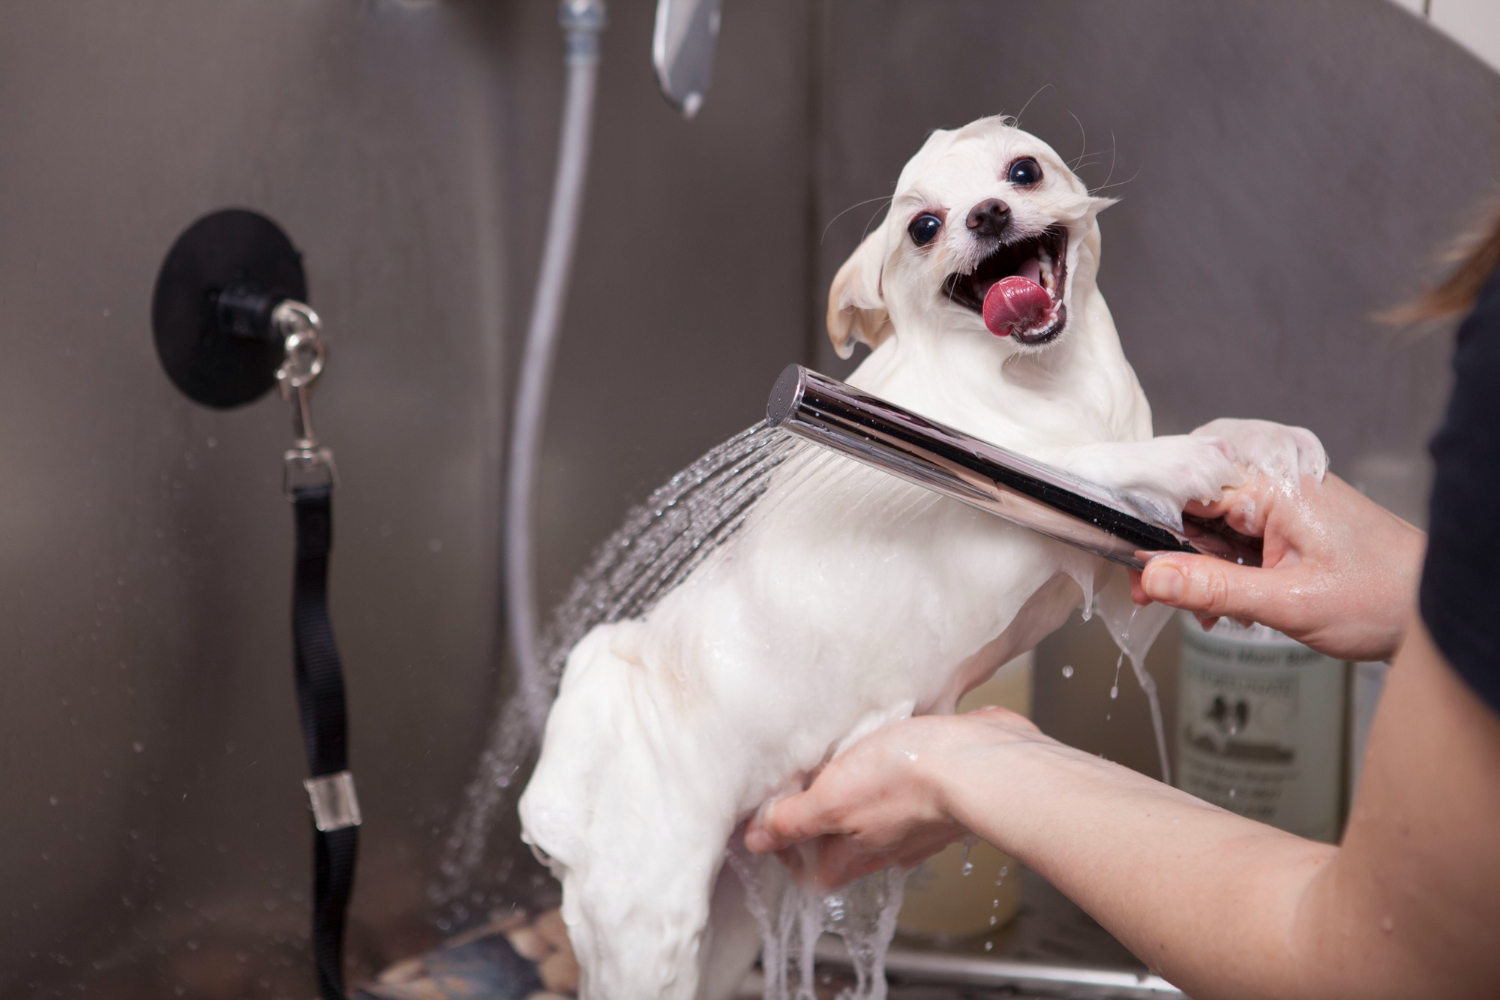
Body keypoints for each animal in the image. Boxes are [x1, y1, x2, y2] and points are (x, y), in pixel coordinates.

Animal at [516, 115, 1326, 1000]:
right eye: (924, 227)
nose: (988, 214)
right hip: (651, 920)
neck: (1043, 382)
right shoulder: (1002, 518)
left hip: (724, 928)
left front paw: (1265, 440)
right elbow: (1080, 463)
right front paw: (1184, 457)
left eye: (1023, 170)